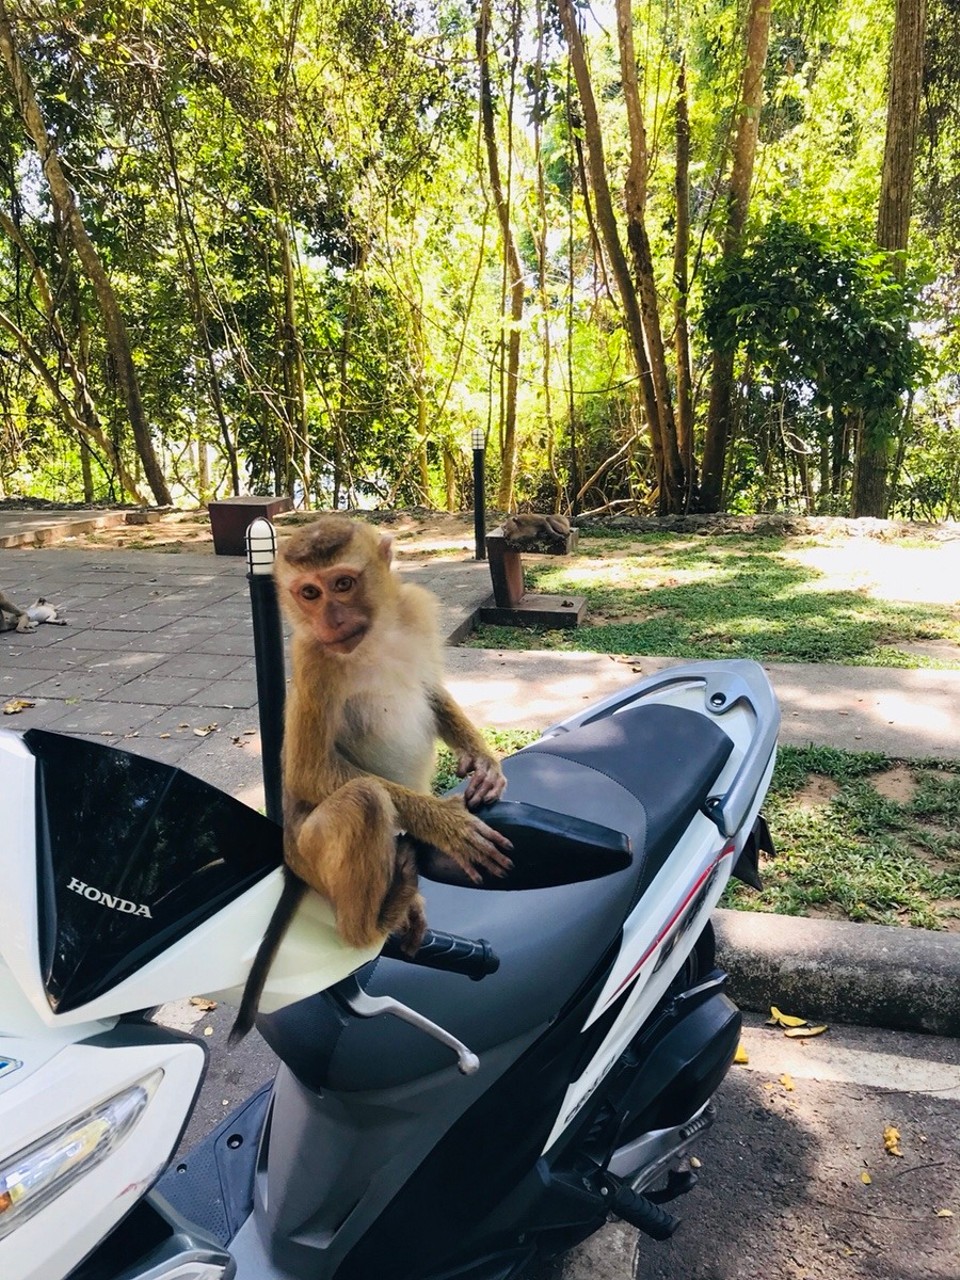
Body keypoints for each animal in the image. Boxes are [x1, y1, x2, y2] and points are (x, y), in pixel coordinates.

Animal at [230, 515, 512, 1043]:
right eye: (309, 593)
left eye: (343, 584)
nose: (331, 620)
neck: (375, 635)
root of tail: (289, 856)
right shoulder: (313, 658)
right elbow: (310, 771)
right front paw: (447, 824)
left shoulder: (415, 611)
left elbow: (430, 689)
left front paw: (483, 759)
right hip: (312, 855)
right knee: (364, 797)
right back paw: (374, 922)